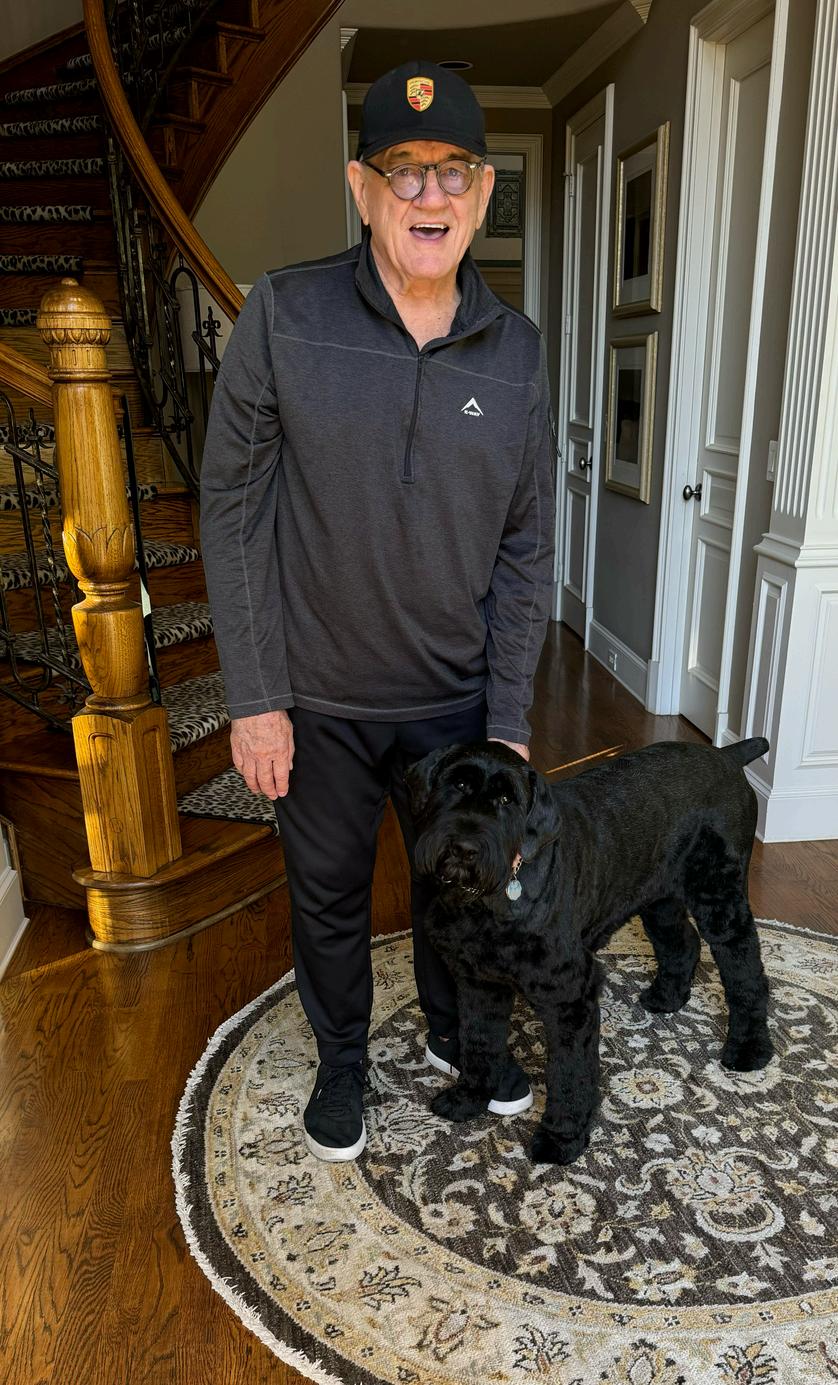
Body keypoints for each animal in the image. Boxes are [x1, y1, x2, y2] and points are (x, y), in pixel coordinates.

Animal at [406, 737, 773, 1165]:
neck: (489, 899)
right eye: (459, 785)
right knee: (682, 941)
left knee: (745, 966)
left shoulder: (569, 999)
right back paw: (667, 997)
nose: (464, 848)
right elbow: (479, 1043)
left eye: (506, 799)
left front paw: (561, 1138)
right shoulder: (479, 983)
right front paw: (469, 1099)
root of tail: (727, 755)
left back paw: (749, 1049)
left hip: (720, 898)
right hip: (659, 896)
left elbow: (569, 1072)